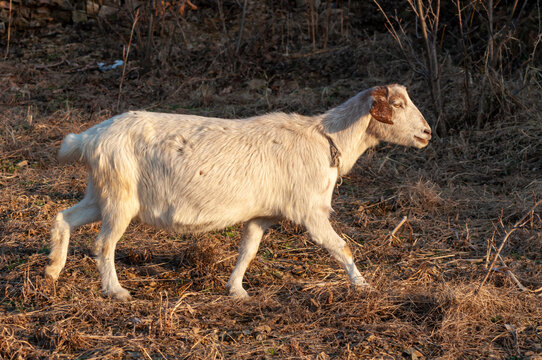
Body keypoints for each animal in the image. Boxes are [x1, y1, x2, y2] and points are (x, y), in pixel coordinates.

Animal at [44, 83, 432, 300]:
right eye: (398, 105)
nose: (427, 133)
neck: (325, 139)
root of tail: (88, 138)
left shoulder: (261, 215)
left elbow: (248, 251)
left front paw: (237, 291)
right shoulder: (310, 212)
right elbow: (341, 247)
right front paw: (363, 286)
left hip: (102, 193)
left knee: (65, 218)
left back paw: (52, 271)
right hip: (120, 198)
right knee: (103, 244)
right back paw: (115, 291)